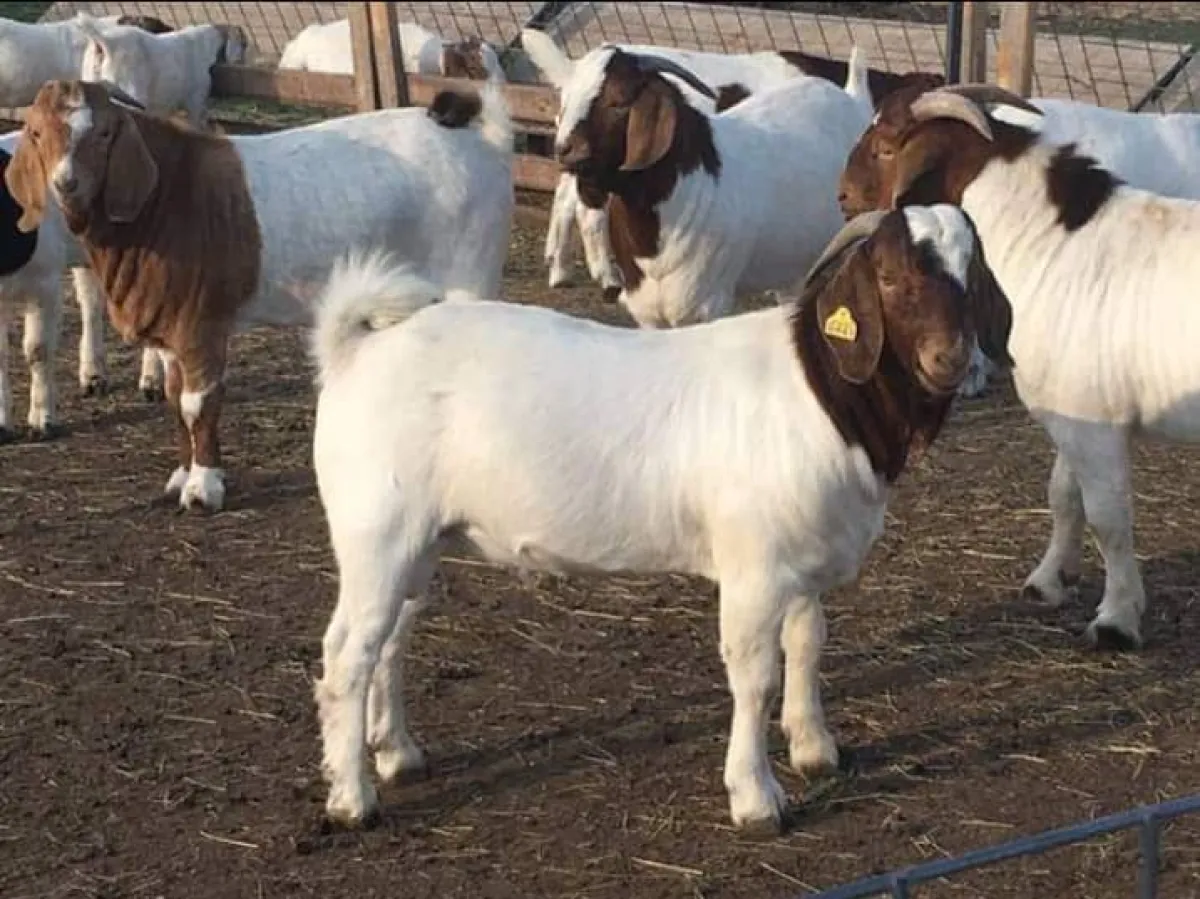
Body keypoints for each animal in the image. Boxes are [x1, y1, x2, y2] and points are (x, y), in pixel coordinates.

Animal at [7, 78, 514, 512]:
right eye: (36, 131)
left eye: (105, 132)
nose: (66, 183)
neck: (166, 196)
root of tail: (483, 133)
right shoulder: (171, 328)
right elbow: (174, 399)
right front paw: (181, 476)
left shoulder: (202, 322)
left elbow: (197, 403)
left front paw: (203, 488)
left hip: (470, 272)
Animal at [306, 205, 1013, 832]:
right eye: (889, 276)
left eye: (973, 273)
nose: (951, 359)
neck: (822, 393)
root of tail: (357, 349)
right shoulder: (753, 568)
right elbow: (755, 677)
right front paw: (756, 799)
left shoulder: (803, 558)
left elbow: (808, 642)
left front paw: (815, 748)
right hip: (376, 530)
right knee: (347, 653)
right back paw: (352, 801)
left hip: (417, 541)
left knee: (391, 639)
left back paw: (398, 755)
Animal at [548, 45, 873, 328]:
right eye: (566, 100)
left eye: (619, 101)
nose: (564, 149)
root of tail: (852, 97)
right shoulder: (647, 311)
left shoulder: (704, 305)